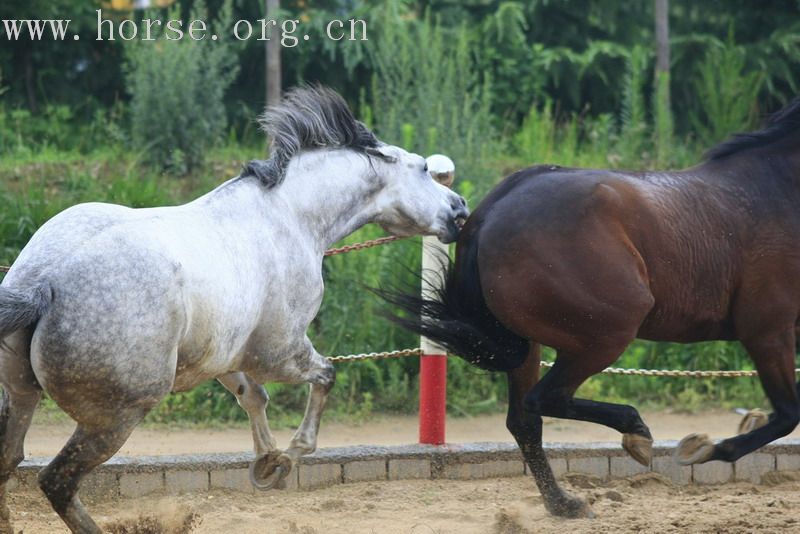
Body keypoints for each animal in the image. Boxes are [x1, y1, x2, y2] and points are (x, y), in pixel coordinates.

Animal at [0, 86, 468, 532]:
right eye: (423, 168)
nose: (460, 209)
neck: (289, 216)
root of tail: (43, 283)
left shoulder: (223, 355)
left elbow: (253, 396)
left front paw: (266, 464)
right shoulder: (278, 353)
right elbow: (326, 375)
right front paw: (288, 459)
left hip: (23, 394)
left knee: (11, 458)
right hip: (114, 418)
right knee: (56, 481)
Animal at [382, 97, 800, 520]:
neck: (779, 190)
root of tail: (486, 217)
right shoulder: (768, 330)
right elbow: (787, 414)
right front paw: (705, 448)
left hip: (534, 343)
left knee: (525, 420)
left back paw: (564, 502)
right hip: (607, 334)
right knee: (545, 400)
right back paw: (636, 435)